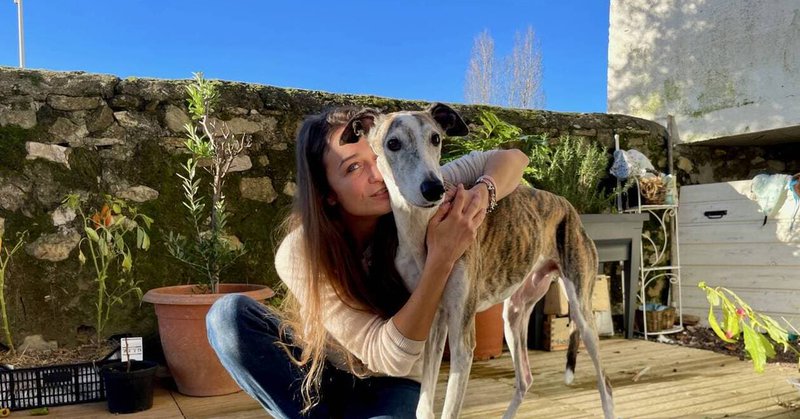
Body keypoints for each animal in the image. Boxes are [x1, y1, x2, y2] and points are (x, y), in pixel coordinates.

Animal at [340, 104, 615, 419]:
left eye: (436, 138)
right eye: (392, 143)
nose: (434, 189)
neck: (422, 230)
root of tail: (567, 205)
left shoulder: (462, 337)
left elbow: (448, 410)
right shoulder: (433, 320)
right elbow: (424, 408)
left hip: (581, 311)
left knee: (605, 384)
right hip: (514, 313)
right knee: (525, 379)